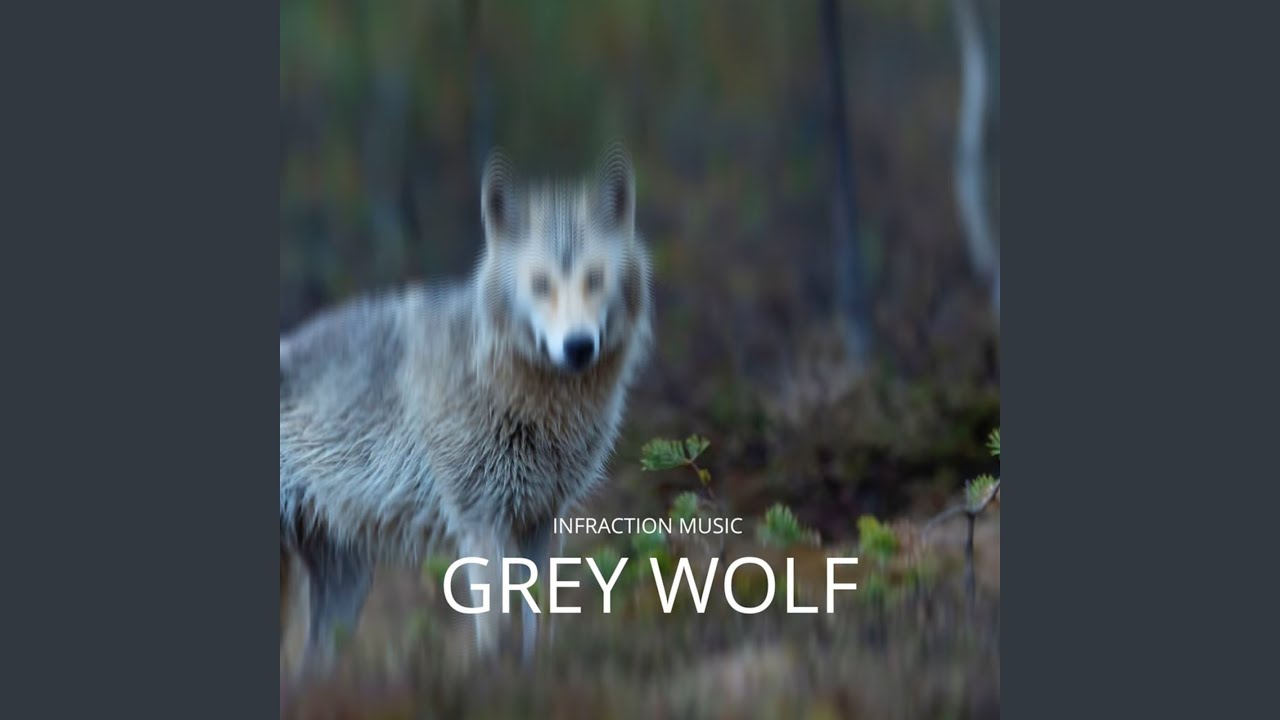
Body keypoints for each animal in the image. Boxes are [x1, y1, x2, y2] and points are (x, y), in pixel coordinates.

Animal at [279, 145, 652, 667]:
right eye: (541, 284)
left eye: (594, 279)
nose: (578, 347)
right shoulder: (480, 522)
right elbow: (493, 631)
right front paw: (492, 678)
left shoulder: (543, 520)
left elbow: (543, 622)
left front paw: (538, 674)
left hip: (348, 583)